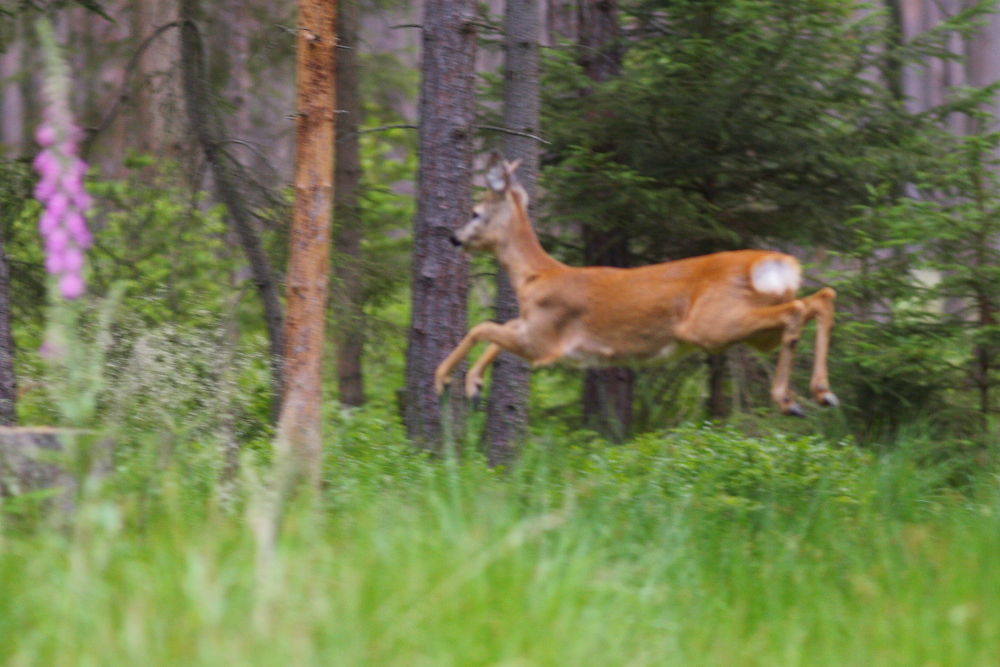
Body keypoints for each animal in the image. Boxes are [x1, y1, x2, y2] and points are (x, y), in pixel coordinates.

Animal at [434, 155, 840, 418]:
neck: (534, 276)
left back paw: (789, 400)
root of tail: (768, 262)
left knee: (798, 309)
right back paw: (821, 393)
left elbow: (483, 326)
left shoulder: (545, 339)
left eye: (474, 212)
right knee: (820, 298)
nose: (453, 238)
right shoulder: (532, 328)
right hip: (754, 332)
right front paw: (473, 385)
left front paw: (445, 381)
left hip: (711, 323)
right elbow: (497, 328)